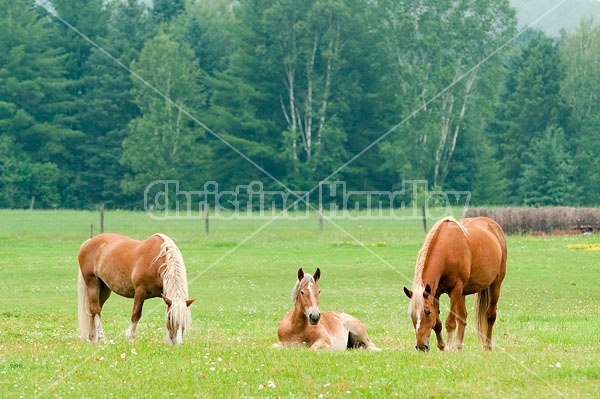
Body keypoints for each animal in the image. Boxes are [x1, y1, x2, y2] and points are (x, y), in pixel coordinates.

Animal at [404, 217, 506, 352]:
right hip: (462, 293)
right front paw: (442, 346)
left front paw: (448, 346)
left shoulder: (455, 289)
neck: (447, 249)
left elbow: (450, 322)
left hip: (495, 285)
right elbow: (438, 324)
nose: (421, 346)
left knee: (490, 315)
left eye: (428, 312)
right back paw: (458, 346)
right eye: (411, 314)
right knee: (463, 316)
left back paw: (488, 346)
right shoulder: (435, 293)